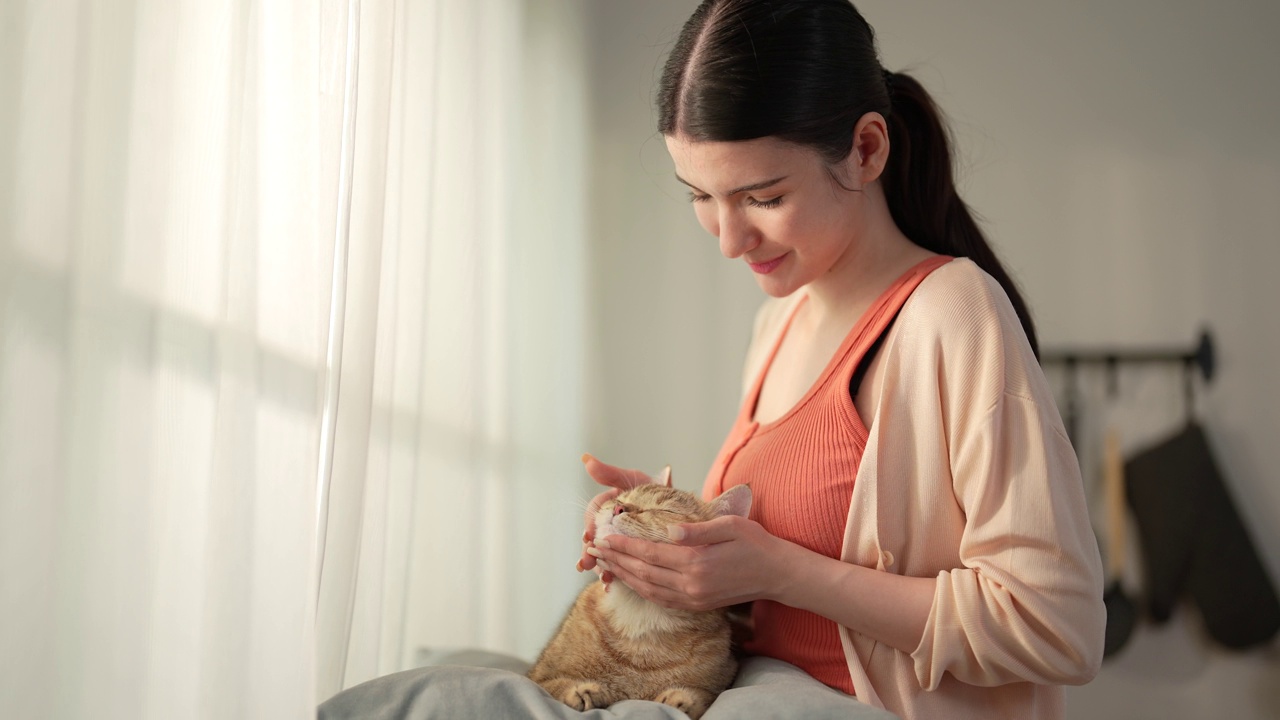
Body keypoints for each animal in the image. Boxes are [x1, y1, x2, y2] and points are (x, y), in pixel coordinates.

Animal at [527, 468, 747, 712]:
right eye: (623, 498)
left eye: (665, 510)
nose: (618, 508)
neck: (640, 614)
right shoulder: (539, 675)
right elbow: (554, 685)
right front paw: (579, 691)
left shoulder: (723, 677)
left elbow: (704, 696)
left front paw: (681, 698)